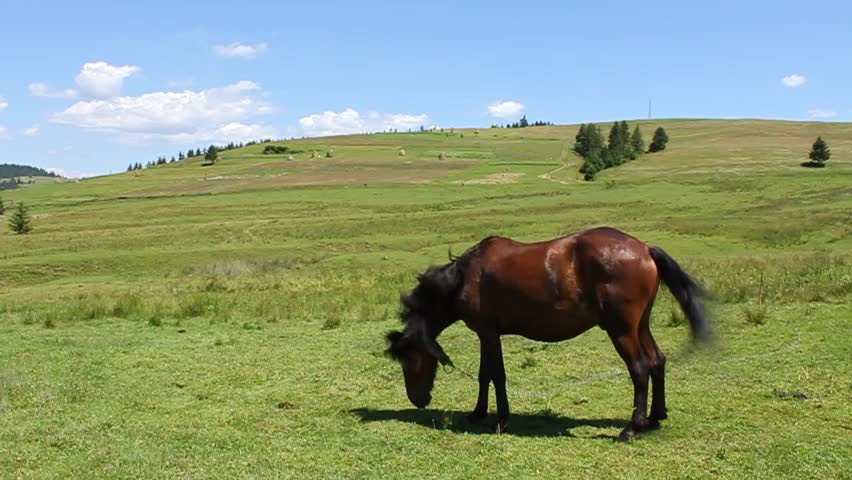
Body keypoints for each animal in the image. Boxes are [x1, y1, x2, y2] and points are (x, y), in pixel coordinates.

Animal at [385, 226, 712, 441]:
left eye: (409, 360)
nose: (417, 400)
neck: (465, 277)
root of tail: (644, 249)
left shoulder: (489, 333)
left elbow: (497, 375)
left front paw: (501, 420)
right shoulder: (485, 335)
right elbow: (484, 375)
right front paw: (478, 413)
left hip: (621, 330)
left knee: (640, 369)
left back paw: (631, 428)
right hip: (640, 325)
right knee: (658, 361)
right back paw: (654, 418)